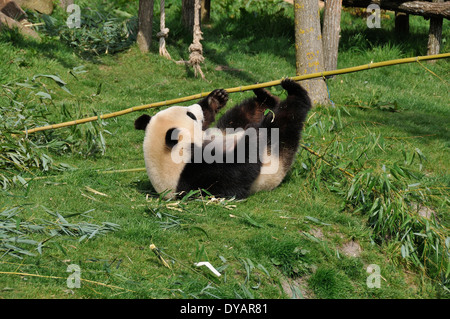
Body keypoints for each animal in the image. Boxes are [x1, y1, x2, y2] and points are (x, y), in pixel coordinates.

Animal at [132, 79, 312, 199]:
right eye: (190, 115)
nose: (196, 108)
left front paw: (215, 99)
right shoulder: (196, 176)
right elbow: (237, 174)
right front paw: (252, 136)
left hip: (228, 126)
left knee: (242, 113)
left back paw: (265, 96)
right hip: (278, 153)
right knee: (288, 118)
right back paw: (292, 94)